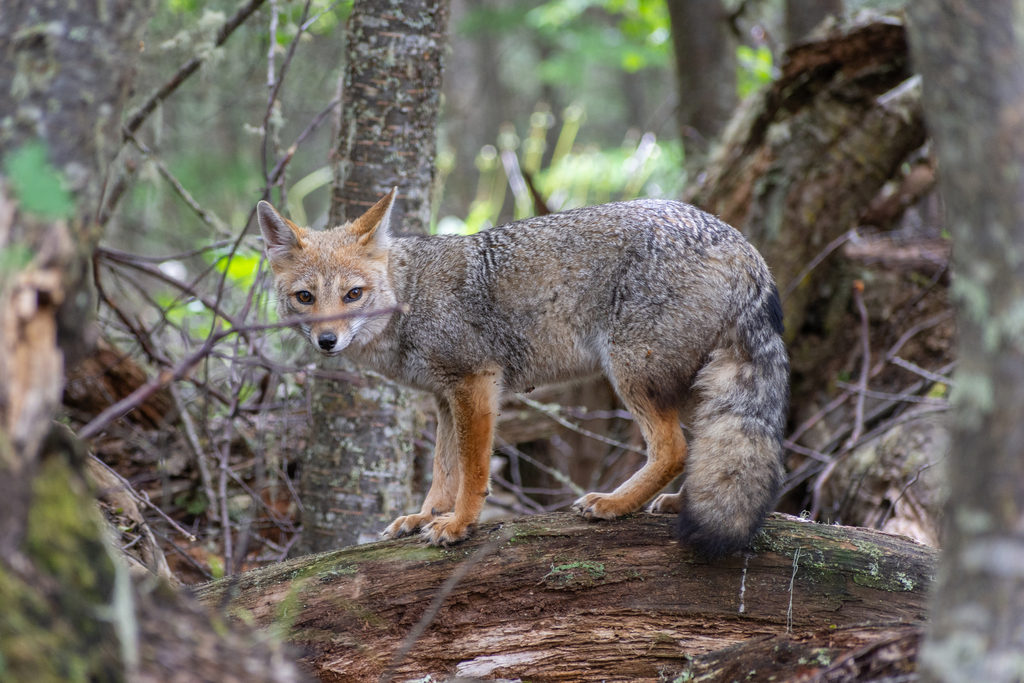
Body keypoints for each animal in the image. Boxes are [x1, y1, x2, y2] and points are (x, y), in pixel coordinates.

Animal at [258, 187, 790, 557]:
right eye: (306, 297)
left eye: (353, 294)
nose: (327, 342)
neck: (410, 297)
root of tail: (743, 246)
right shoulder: (443, 398)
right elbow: (442, 472)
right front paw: (425, 517)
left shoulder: (474, 384)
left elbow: (471, 470)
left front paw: (459, 524)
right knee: (705, 450)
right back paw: (681, 503)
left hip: (631, 375)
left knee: (673, 449)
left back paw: (615, 504)